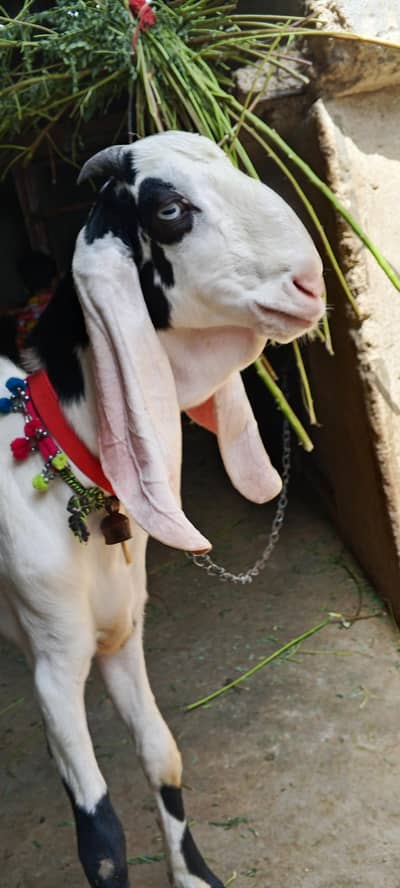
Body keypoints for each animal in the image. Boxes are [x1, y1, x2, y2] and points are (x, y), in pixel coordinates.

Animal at [0, 131, 324, 888]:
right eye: (169, 210)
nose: (311, 285)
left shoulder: (122, 634)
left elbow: (162, 751)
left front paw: (194, 875)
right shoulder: (54, 662)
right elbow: (101, 835)